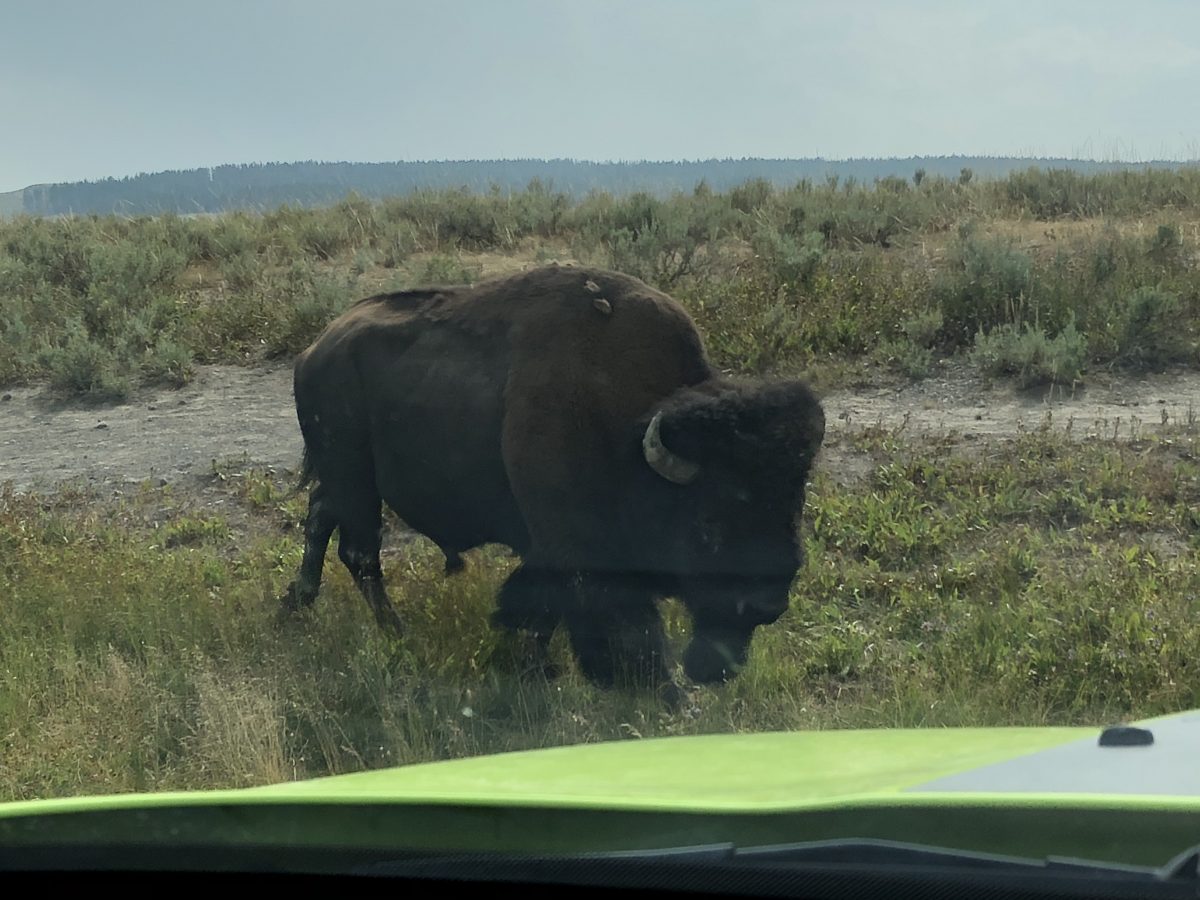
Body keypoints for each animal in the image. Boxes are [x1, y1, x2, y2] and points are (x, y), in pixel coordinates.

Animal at [280, 264, 825, 700]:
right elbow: (616, 620)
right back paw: (398, 637)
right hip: (353, 477)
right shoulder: (580, 549)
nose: (768, 605)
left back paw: (298, 601)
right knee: (360, 554)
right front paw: (661, 693)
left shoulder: (550, 547)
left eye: (793, 507)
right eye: (707, 524)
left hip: (342, 478)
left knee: (320, 518)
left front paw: (538, 666)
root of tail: (314, 349)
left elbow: (541, 605)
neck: (628, 433)